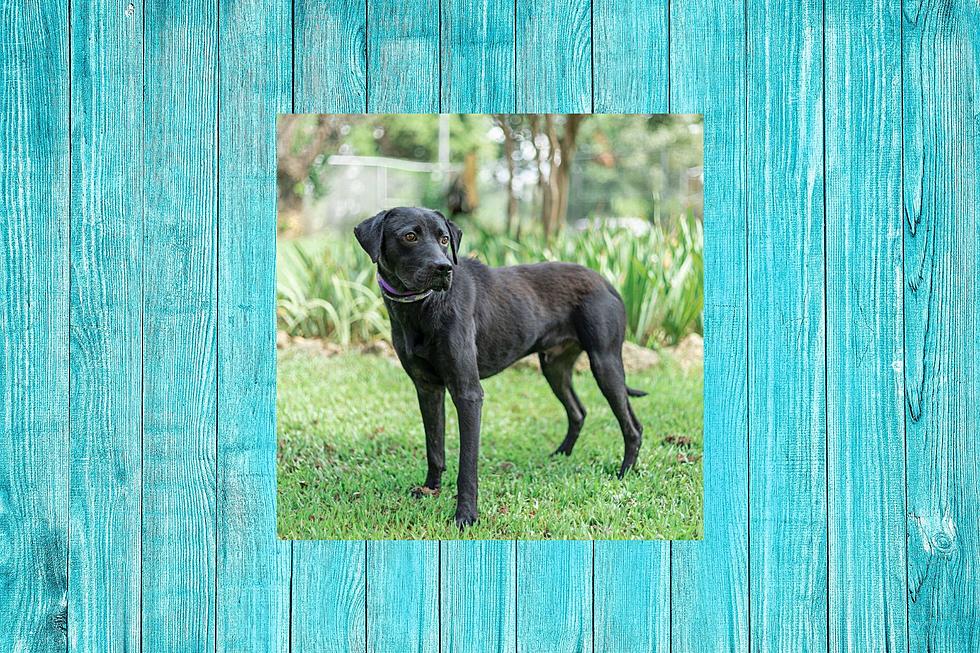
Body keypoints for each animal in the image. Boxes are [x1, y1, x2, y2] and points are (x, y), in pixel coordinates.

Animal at [352, 206, 644, 528]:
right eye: (410, 236)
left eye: (444, 239)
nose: (444, 268)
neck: (422, 306)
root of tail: (607, 282)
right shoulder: (427, 389)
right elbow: (434, 448)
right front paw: (430, 490)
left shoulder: (468, 393)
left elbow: (467, 465)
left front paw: (466, 515)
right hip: (555, 368)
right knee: (579, 412)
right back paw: (561, 455)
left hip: (604, 362)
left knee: (632, 426)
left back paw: (624, 472)